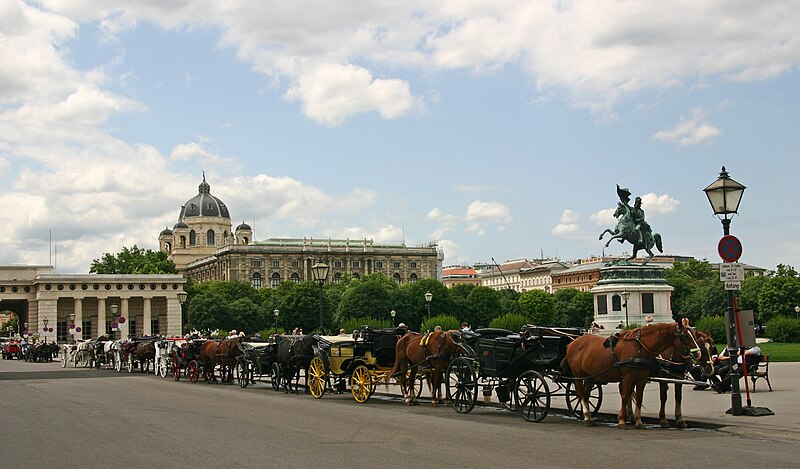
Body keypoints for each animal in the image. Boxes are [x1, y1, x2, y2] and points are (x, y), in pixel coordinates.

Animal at [564, 322, 692, 428]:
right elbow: (625, 396)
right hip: (578, 375)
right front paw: (622, 420)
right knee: (580, 393)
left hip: (590, 376)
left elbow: (639, 398)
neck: (641, 348)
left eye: (692, 335)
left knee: (585, 394)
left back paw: (589, 417)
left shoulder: (642, 379)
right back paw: (586, 416)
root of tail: (571, 343)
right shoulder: (628, 377)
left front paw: (638, 421)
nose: (691, 355)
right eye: (685, 336)